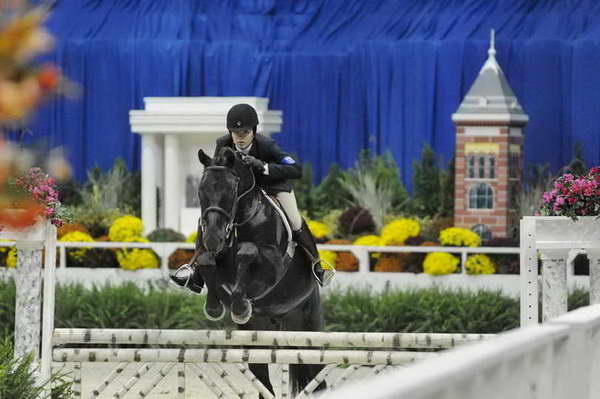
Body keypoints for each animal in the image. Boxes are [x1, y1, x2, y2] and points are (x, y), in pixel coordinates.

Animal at [192, 148, 324, 396]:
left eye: (231, 189)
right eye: (201, 189)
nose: (213, 238)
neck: (241, 220)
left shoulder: (273, 266)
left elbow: (248, 251)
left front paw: (240, 306)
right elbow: (206, 260)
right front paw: (214, 306)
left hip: (309, 332)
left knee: (317, 377)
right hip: (257, 337)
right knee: (262, 379)